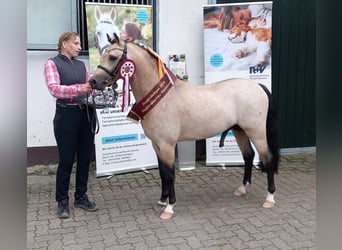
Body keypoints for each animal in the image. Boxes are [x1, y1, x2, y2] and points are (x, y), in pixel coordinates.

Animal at [89, 32, 280, 219]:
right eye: (103, 55)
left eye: (113, 57)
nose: (93, 81)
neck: (162, 98)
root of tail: (257, 86)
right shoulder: (157, 145)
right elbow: (162, 173)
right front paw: (162, 200)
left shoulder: (167, 145)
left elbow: (170, 174)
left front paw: (169, 207)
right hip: (239, 130)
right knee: (248, 156)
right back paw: (242, 189)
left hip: (256, 132)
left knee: (267, 158)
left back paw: (270, 198)